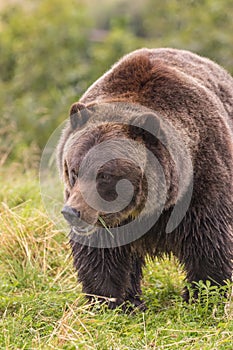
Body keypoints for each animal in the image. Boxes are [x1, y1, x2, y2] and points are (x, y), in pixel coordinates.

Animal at [57, 48, 233, 308]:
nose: (72, 212)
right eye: (73, 171)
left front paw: (203, 296)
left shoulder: (204, 178)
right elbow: (100, 254)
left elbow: (210, 241)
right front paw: (110, 301)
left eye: (104, 175)